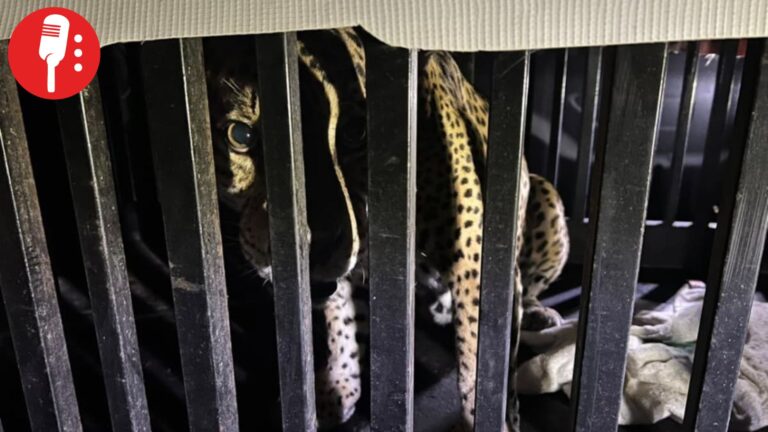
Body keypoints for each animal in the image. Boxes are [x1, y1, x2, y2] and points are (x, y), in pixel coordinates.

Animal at [205, 28, 569, 432]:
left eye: (356, 132)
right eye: (242, 136)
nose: (315, 246)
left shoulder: (475, 265)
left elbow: (482, 360)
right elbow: (344, 323)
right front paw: (339, 388)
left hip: (547, 196)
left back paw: (539, 313)